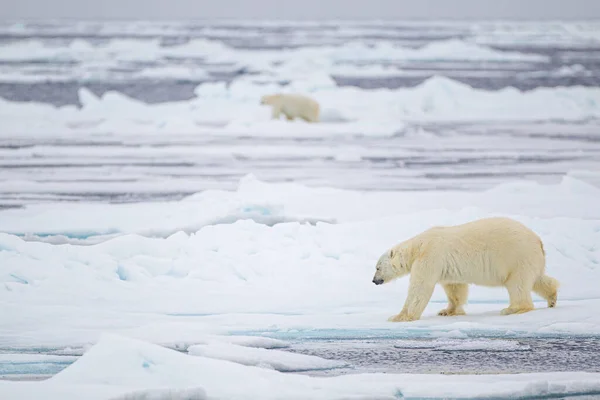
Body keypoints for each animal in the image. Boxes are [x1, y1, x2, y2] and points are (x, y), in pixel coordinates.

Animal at [372, 217, 560, 324]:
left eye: (377, 267)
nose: (374, 280)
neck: (417, 246)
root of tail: (538, 240)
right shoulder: (445, 265)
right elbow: (455, 287)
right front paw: (447, 311)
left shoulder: (430, 255)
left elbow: (420, 287)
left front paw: (399, 317)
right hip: (529, 259)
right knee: (536, 279)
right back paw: (552, 298)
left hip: (516, 256)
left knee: (517, 284)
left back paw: (511, 309)